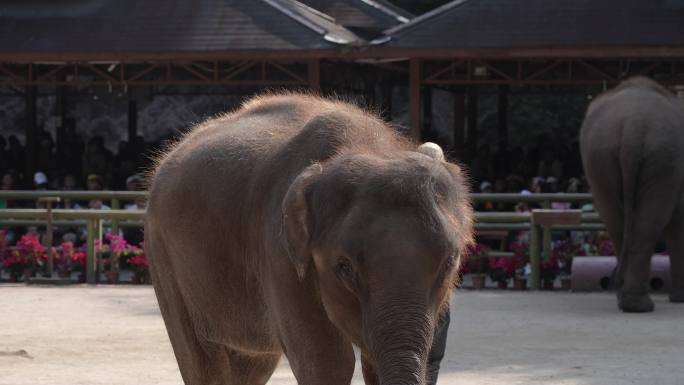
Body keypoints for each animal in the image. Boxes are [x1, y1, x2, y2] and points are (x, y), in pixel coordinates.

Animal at [145, 94, 472, 384]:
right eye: (344, 268)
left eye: (449, 262)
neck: (368, 145)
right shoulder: (279, 253)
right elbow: (327, 360)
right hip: (163, 258)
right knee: (202, 362)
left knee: (253, 363)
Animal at [580, 77, 684, 312]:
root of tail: (633, 126)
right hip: (664, 159)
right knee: (646, 226)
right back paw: (639, 305)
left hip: (599, 158)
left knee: (617, 225)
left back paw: (626, 299)